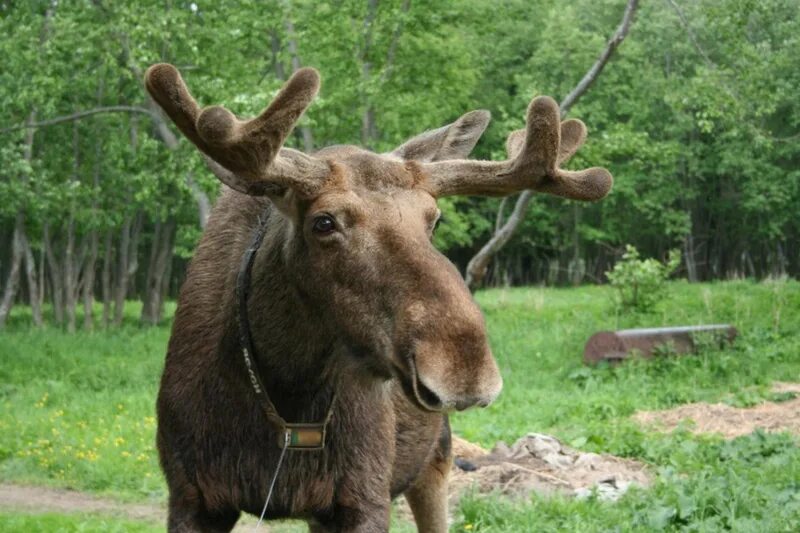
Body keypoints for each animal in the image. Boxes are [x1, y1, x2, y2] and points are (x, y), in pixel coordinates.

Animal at [147, 63, 612, 532]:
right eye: (324, 222)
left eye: (434, 220)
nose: (464, 369)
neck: (287, 397)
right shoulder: (191, 496)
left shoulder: (365, 495)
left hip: (434, 461)